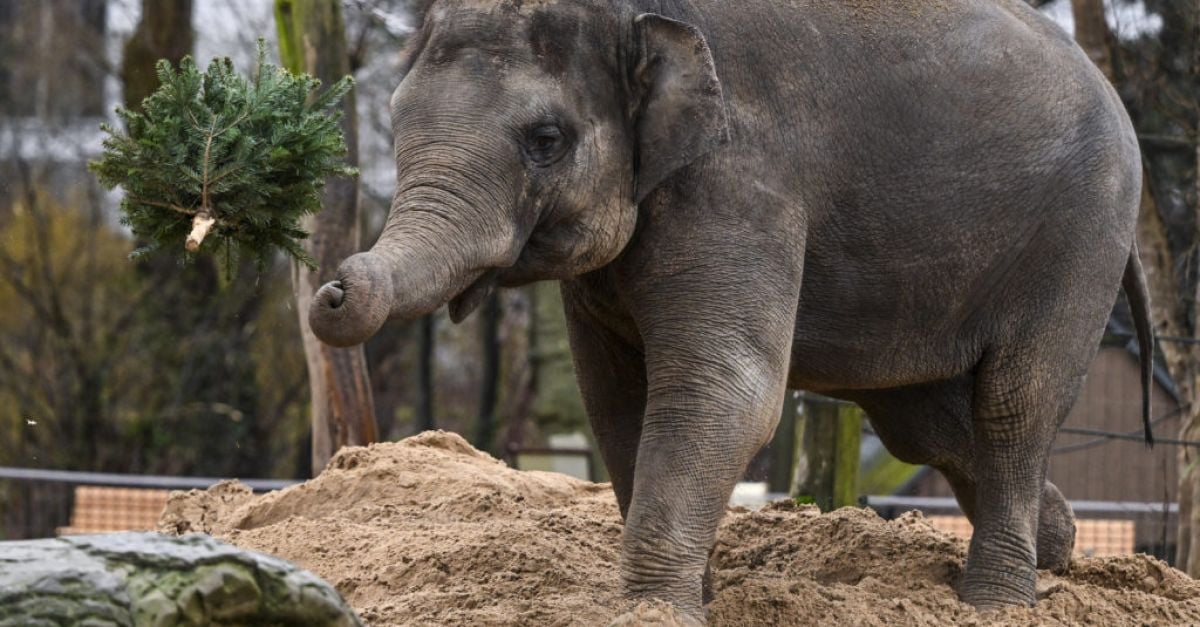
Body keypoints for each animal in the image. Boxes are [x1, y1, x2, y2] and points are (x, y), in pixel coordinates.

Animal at [309, 0, 1152, 614]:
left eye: (545, 138)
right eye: (396, 117)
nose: (332, 288)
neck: (633, 17)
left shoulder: (741, 178)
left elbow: (723, 389)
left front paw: (656, 609)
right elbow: (616, 400)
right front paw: (684, 600)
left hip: (1083, 235)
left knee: (1015, 402)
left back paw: (998, 601)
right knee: (922, 420)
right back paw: (1060, 547)